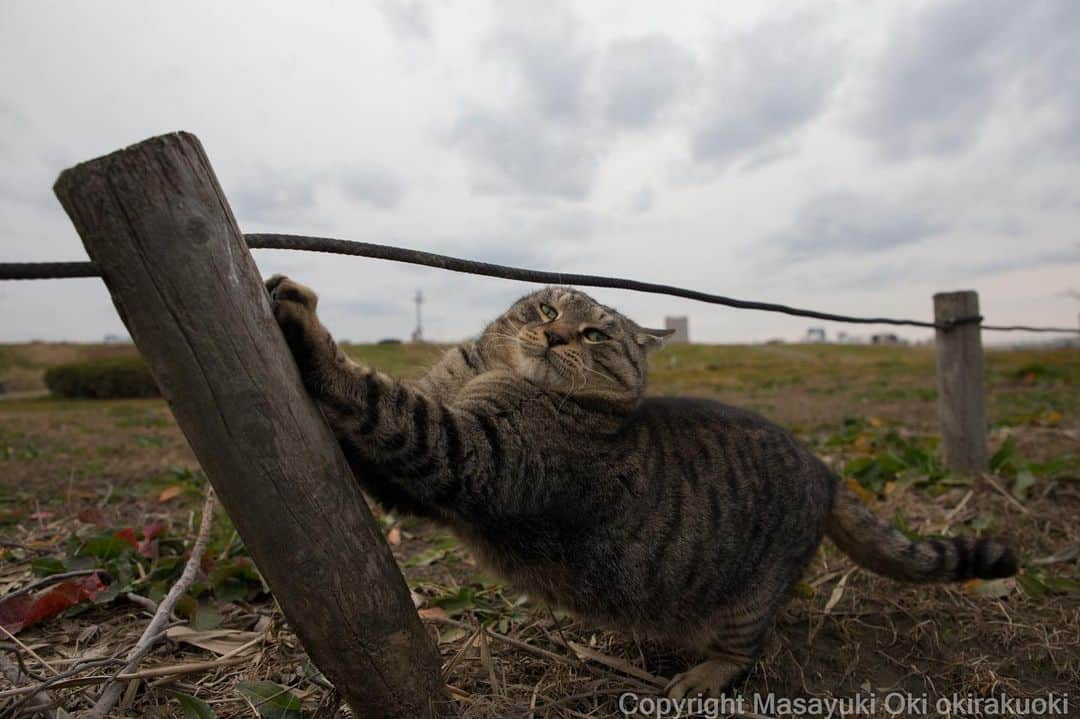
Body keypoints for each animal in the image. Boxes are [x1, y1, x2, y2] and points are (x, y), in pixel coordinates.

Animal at [265, 274, 1015, 695]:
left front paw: (304, 321)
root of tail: (826, 468)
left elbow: (382, 400)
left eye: (595, 334)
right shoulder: (417, 472)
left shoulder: (469, 455)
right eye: (546, 311)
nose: (557, 338)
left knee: (747, 648)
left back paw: (702, 677)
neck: (486, 374)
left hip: (751, 597)